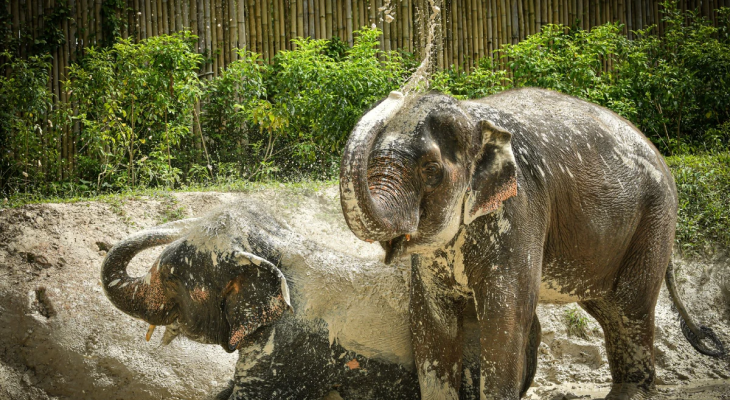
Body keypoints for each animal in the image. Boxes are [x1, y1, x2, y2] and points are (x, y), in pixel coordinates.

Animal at [336, 88, 724, 400]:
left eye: (431, 171)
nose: (397, 93)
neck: (475, 118)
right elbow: (431, 320)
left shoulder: (520, 210)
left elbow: (504, 317)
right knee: (607, 308)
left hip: (655, 219)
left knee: (630, 307)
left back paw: (628, 393)